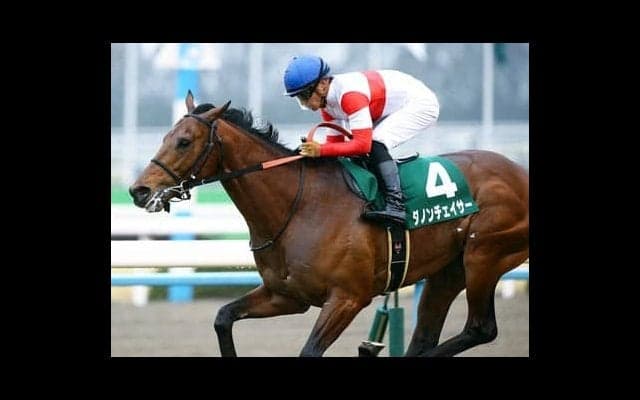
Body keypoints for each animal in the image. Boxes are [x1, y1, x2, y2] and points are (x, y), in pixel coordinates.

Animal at [129, 91, 529, 357]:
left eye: (184, 141)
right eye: (165, 137)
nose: (138, 190)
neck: (299, 207)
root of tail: (519, 172)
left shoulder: (348, 298)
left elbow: (309, 351)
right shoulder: (287, 295)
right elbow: (223, 317)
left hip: (484, 253)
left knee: (480, 328)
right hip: (447, 271)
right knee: (428, 336)